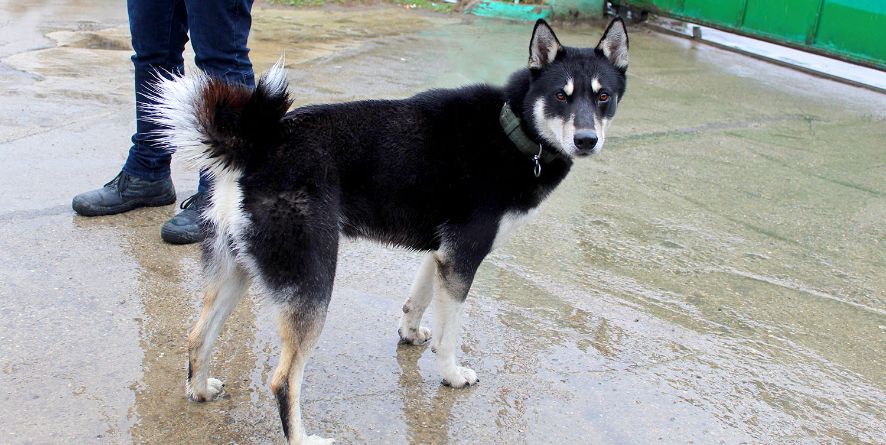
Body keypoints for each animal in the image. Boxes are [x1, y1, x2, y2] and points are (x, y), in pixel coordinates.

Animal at [147, 18, 632, 444]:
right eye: (560, 97)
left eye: (603, 96)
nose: (587, 140)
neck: (509, 126)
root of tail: (256, 147)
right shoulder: (463, 258)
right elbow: (449, 336)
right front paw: (451, 374)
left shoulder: (442, 254)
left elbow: (418, 301)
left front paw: (410, 334)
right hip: (312, 283)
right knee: (283, 380)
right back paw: (302, 437)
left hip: (237, 273)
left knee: (197, 337)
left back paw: (199, 390)